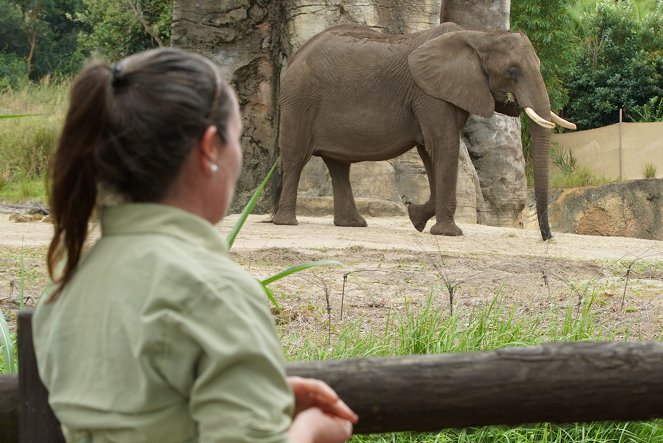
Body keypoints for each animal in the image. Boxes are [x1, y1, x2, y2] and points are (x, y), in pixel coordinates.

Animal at [272, 21, 572, 239]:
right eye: (512, 71)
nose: (547, 238)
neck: (479, 36)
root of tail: (295, 55)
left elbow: (431, 152)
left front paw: (416, 218)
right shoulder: (429, 94)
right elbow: (444, 145)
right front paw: (448, 233)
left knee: (338, 165)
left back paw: (352, 224)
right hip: (299, 101)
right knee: (296, 158)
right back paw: (286, 222)